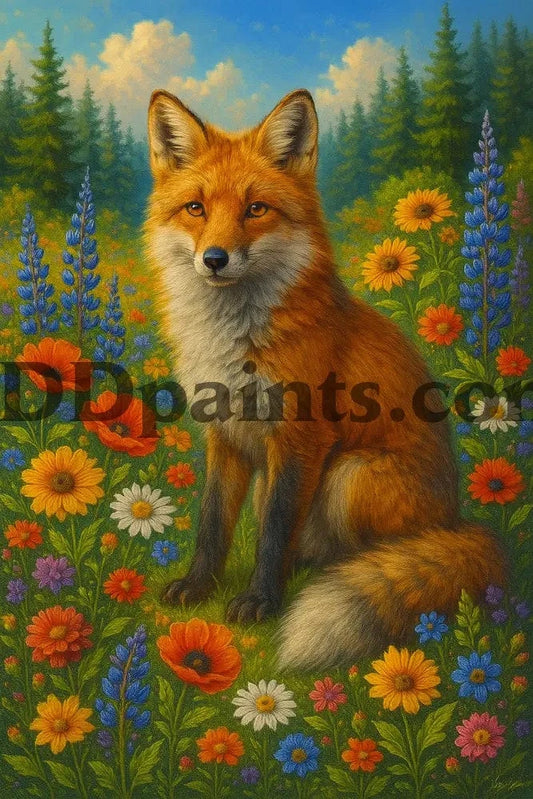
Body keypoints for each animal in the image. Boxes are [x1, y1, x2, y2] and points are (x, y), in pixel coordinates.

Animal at [145, 88, 506, 670]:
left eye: (256, 209)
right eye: (196, 208)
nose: (214, 259)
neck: (235, 343)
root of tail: (455, 521)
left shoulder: (300, 438)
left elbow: (271, 534)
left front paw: (260, 602)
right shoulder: (225, 436)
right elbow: (213, 524)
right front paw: (199, 588)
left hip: (348, 475)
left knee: (373, 557)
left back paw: (353, 580)